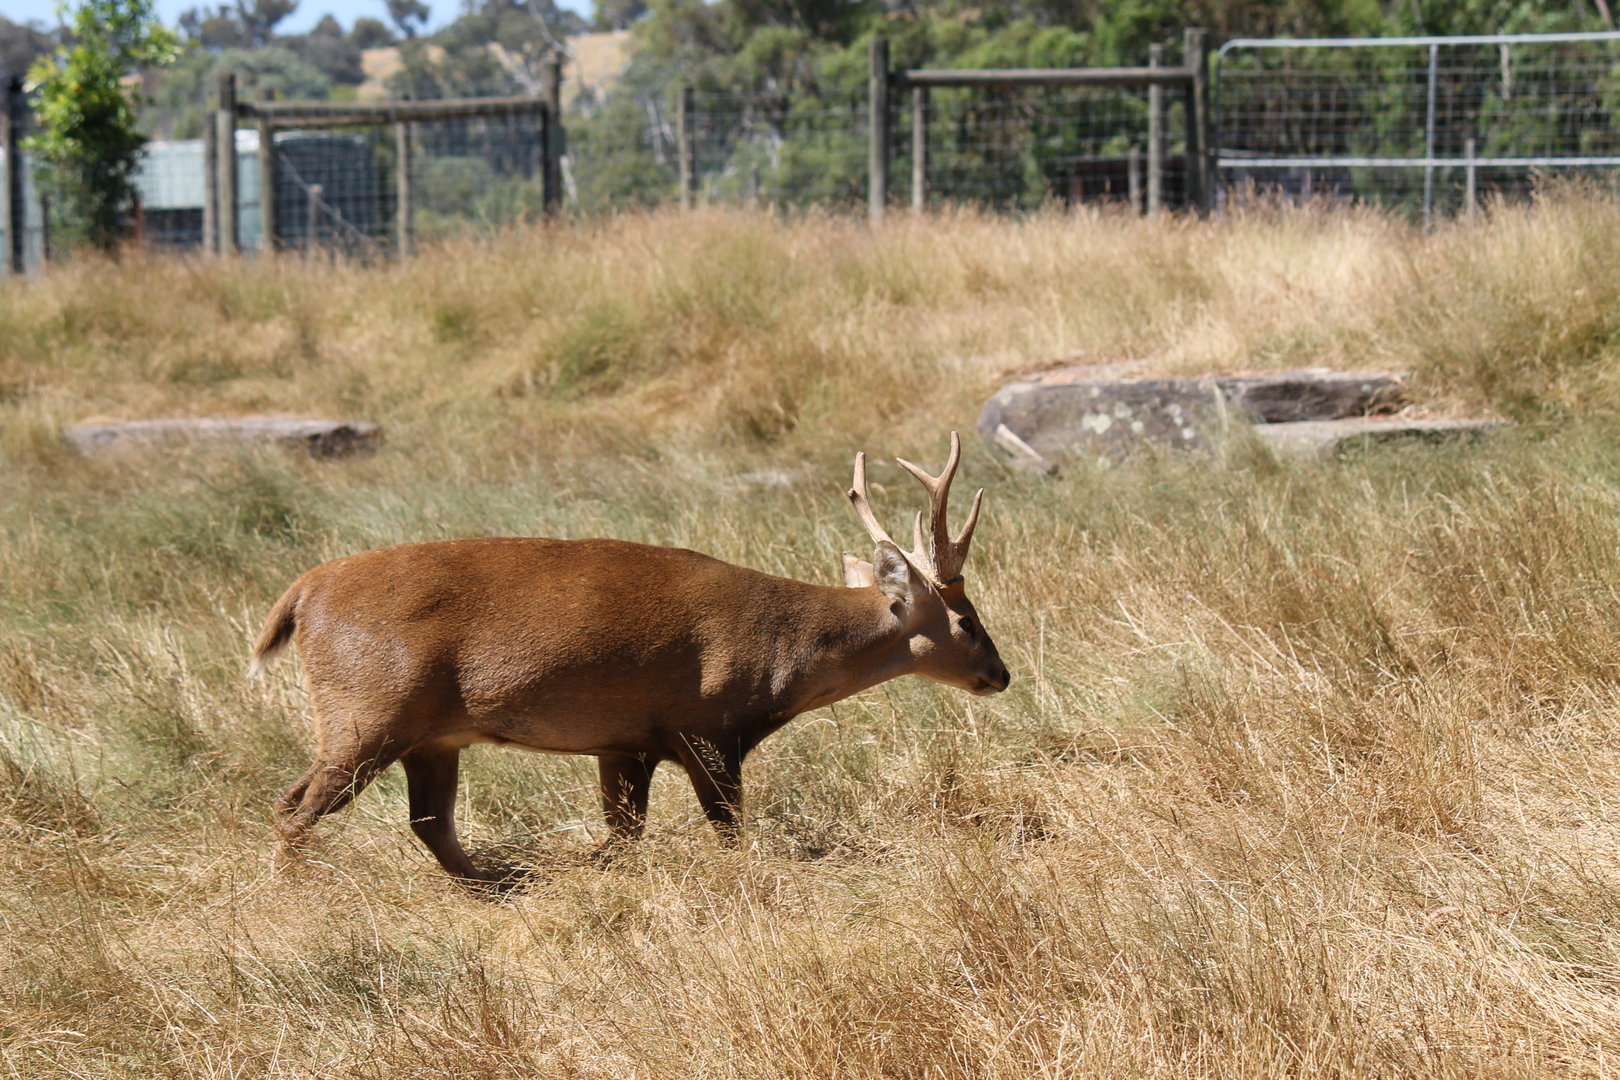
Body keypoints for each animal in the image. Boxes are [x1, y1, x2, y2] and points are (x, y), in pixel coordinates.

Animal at [251, 433, 1009, 888]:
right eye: (967, 621)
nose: (1000, 676)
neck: (782, 657)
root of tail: (303, 591)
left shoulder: (624, 743)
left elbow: (622, 835)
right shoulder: (706, 726)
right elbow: (727, 830)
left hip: (425, 733)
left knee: (416, 820)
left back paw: (503, 882)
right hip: (370, 708)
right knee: (299, 812)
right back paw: (292, 890)